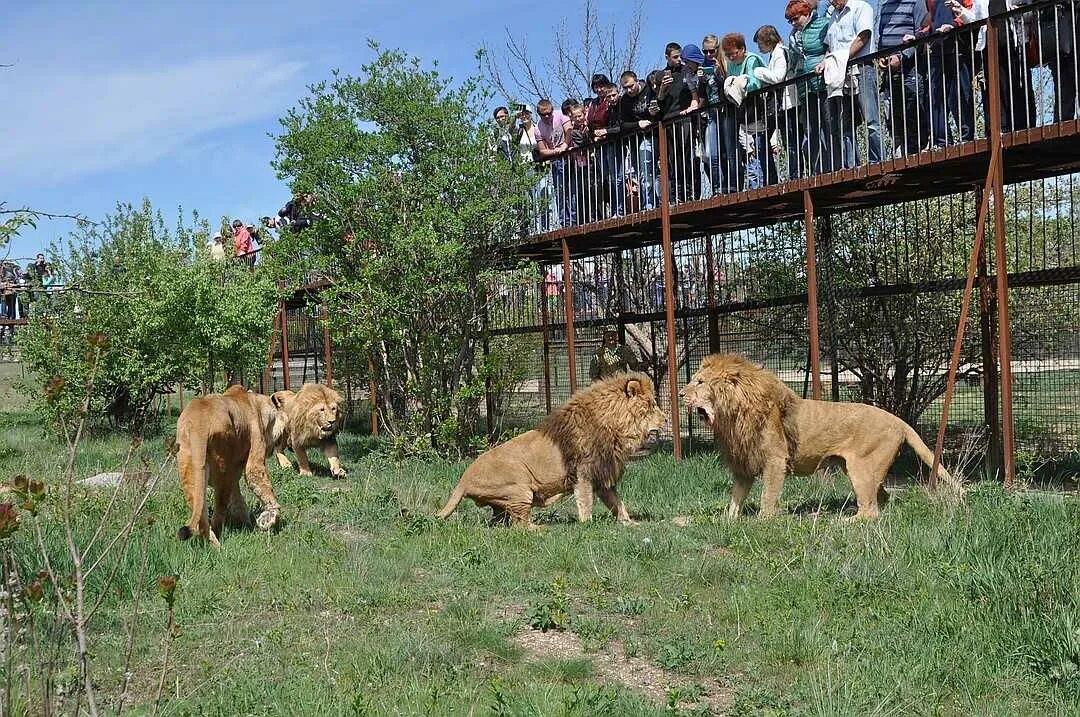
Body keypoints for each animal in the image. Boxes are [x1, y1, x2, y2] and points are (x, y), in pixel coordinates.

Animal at [172, 386, 285, 548]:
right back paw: (219, 545)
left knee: (200, 514)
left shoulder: (234, 470)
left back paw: (213, 545)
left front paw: (247, 524)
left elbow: (238, 499)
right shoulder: (254, 453)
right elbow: (257, 480)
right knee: (219, 510)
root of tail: (198, 423)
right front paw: (269, 519)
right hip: (222, 467)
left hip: (189, 467)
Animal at [436, 371, 665, 529]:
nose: (665, 419)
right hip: (520, 487)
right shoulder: (583, 473)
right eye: (653, 405)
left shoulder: (603, 475)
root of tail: (463, 480)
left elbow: (618, 503)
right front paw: (587, 525)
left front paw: (630, 523)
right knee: (521, 526)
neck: (614, 426)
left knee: (501, 523)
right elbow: (585, 502)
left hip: (503, 504)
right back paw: (543, 528)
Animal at [682, 354, 954, 518]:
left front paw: (763, 521)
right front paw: (727, 520)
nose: (681, 394)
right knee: (881, 500)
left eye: (700, 382)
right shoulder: (744, 462)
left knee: (870, 512)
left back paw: (840, 521)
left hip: (862, 467)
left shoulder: (775, 460)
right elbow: (736, 497)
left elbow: (767, 495)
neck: (734, 414)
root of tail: (899, 421)